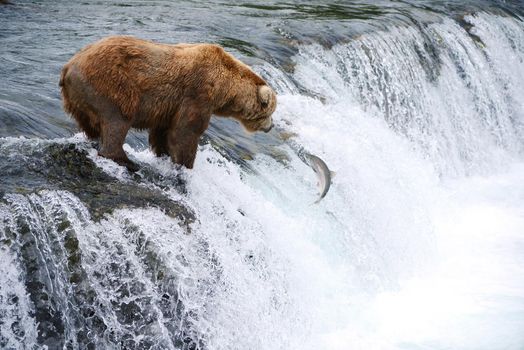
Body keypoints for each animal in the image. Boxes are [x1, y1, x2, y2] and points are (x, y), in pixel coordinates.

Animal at [59, 36, 276, 170]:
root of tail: (68, 66)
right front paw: (185, 164)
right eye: (270, 112)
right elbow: (186, 131)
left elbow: (163, 131)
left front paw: (163, 153)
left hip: (78, 97)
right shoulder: (198, 93)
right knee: (117, 120)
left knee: (90, 124)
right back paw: (126, 160)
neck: (224, 89)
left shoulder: (170, 106)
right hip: (111, 85)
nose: (271, 126)